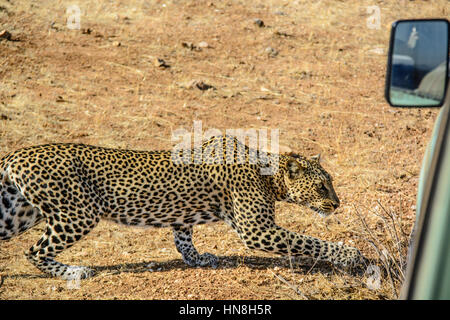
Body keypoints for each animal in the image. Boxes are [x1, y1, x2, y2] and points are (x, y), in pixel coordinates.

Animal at [0, 135, 364, 280]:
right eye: (322, 186)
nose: (336, 203)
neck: (270, 178)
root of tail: (15, 155)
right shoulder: (257, 230)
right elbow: (309, 242)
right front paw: (351, 255)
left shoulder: (184, 217)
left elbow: (183, 240)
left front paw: (198, 259)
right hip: (77, 214)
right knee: (34, 251)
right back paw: (73, 272)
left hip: (17, 212)